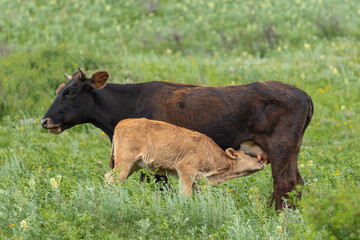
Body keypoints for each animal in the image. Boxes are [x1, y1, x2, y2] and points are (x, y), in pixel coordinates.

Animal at [104, 118, 264, 195]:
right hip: (124, 163)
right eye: (247, 153)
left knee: (109, 177)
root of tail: (123, 122)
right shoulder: (186, 172)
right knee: (114, 179)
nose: (262, 161)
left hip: (134, 165)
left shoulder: (198, 182)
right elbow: (184, 195)